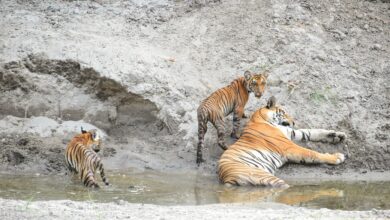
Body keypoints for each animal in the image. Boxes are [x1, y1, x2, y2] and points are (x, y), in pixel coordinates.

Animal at [218, 96, 346, 187]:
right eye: (283, 112)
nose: (294, 122)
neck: (261, 118)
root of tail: (226, 177)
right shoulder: (289, 146)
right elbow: (312, 153)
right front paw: (337, 157)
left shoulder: (291, 132)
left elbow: (311, 132)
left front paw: (337, 135)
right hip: (264, 176)